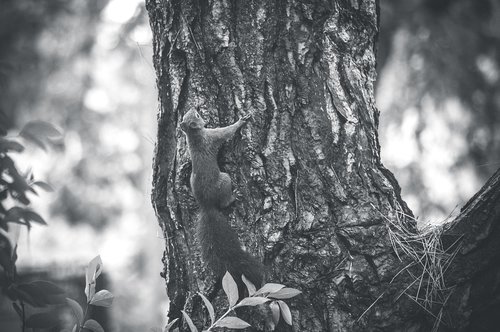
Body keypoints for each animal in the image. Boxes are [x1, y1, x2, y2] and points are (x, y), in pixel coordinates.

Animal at [181, 108, 266, 288]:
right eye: (197, 116)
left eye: (187, 115)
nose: (193, 108)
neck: (195, 136)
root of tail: (206, 205)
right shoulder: (214, 135)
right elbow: (227, 131)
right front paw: (241, 121)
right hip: (225, 179)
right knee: (225, 201)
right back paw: (233, 197)